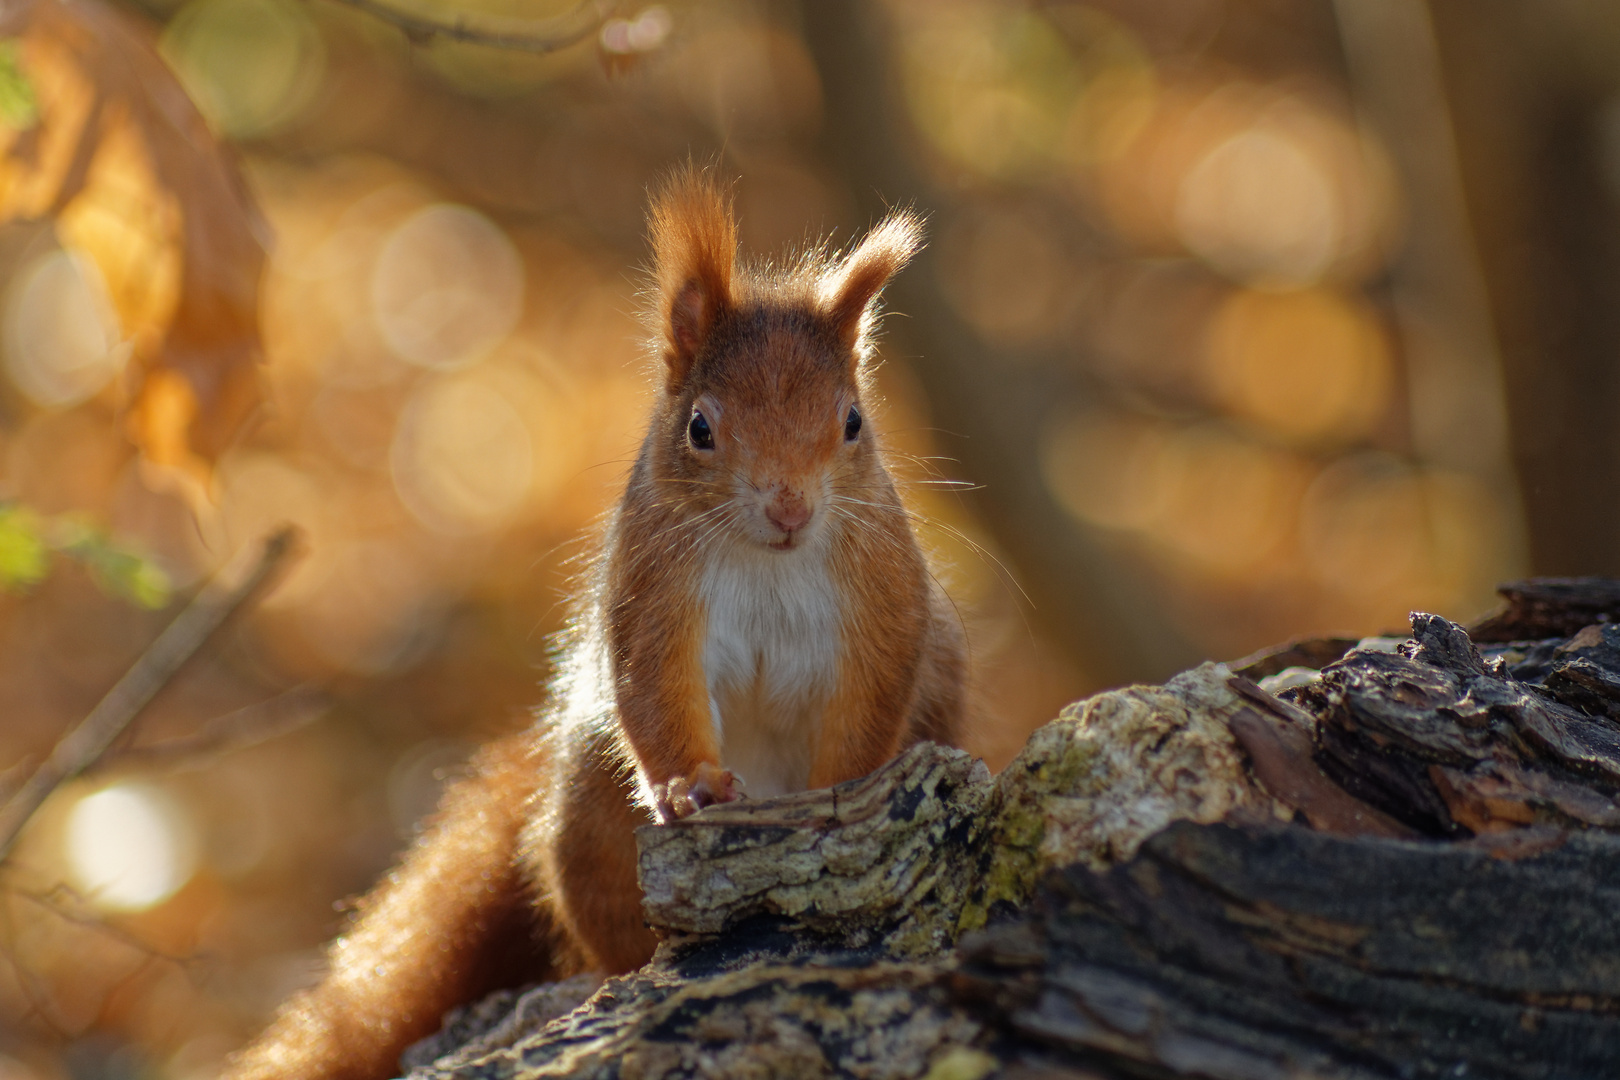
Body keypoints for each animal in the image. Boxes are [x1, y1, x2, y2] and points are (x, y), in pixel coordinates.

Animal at [223, 173, 965, 1080]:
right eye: (701, 428)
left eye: (853, 420)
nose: (790, 508)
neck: (769, 559)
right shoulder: (651, 592)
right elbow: (655, 692)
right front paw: (693, 787)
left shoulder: (884, 599)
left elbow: (870, 698)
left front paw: (842, 790)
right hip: (589, 815)